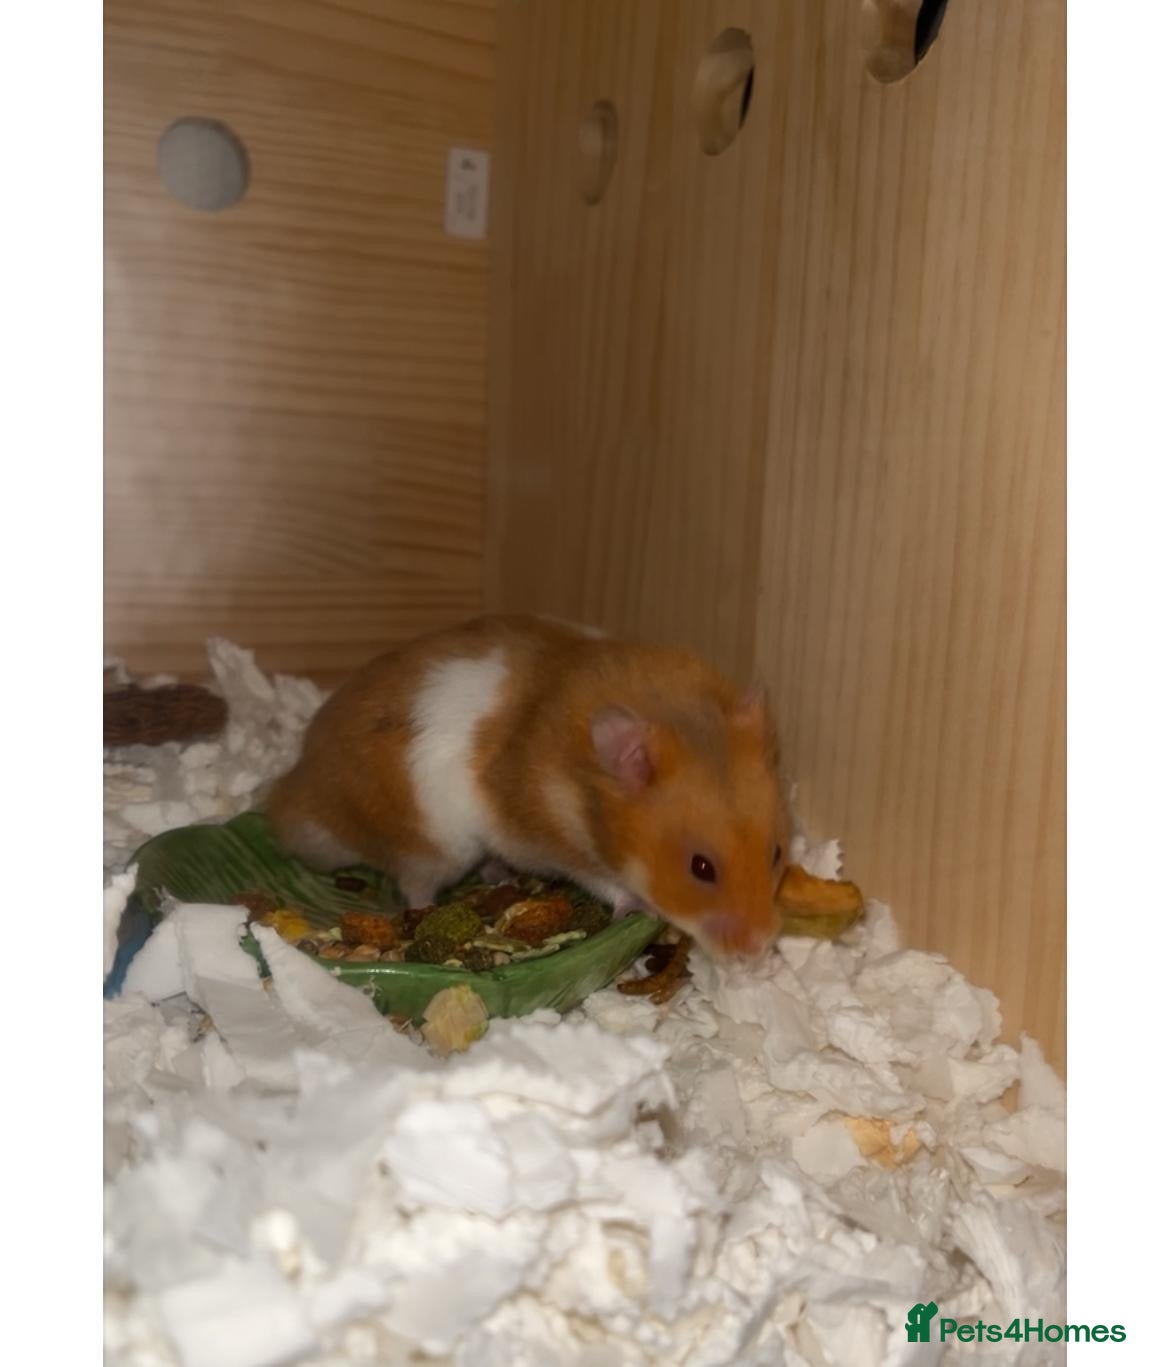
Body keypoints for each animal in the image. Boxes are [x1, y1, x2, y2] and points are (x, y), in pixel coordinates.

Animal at [267, 614, 789, 958]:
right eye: (701, 868)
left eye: (777, 854)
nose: (759, 952)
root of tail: (293, 796)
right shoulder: (551, 841)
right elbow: (606, 882)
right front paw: (639, 907)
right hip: (433, 843)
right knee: (414, 884)